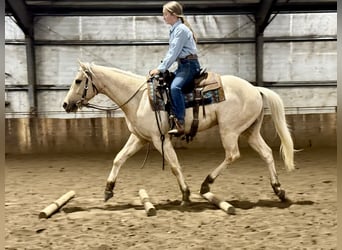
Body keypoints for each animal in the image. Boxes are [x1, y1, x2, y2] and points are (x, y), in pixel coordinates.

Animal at [63, 62, 294, 205]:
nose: (65, 104)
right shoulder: (139, 138)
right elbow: (118, 158)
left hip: (229, 130)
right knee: (266, 153)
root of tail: (255, 89)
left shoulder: (160, 139)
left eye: (77, 81)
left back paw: (206, 184)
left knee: (232, 154)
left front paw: (185, 194)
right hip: (249, 132)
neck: (139, 98)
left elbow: (174, 165)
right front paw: (108, 190)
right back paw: (279, 190)